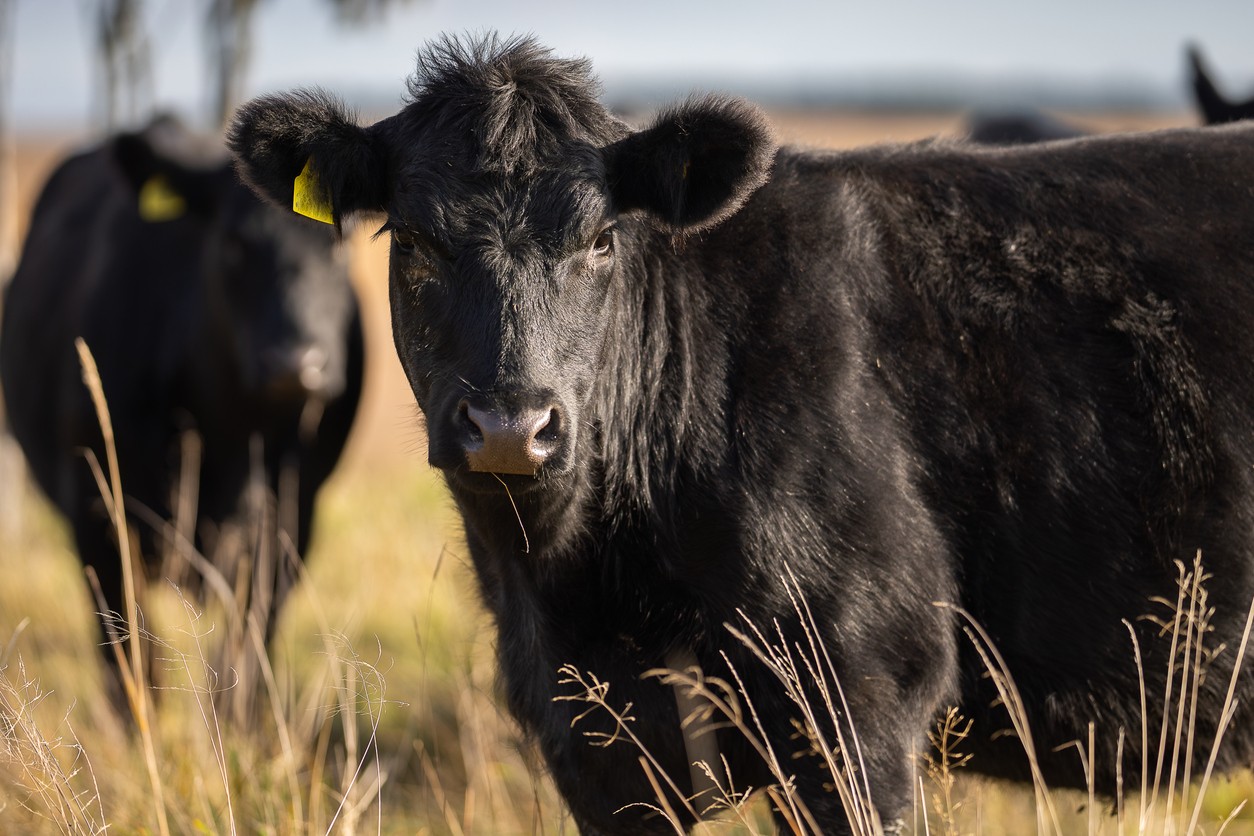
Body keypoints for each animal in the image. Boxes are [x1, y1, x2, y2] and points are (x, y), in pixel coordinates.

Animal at [0, 115, 363, 703]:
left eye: (341, 243)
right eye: (233, 242)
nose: (297, 363)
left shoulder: (290, 516)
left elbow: (243, 662)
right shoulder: (97, 509)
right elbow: (133, 662)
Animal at [229, 34, 1254, 833]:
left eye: (601, 240)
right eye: (412, 240)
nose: (511, 426)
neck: (582, 577)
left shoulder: (860, 701)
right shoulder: (593, 739)